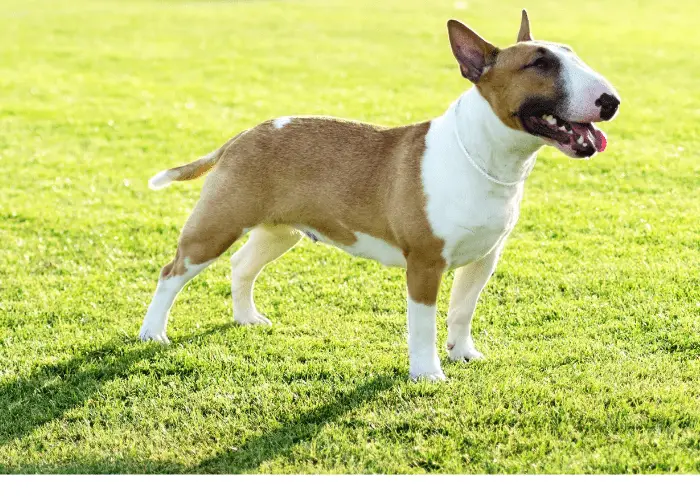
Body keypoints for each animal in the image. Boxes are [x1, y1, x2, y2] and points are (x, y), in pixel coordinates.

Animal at [139, 10, 620, 378]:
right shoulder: (425, 264)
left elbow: (463, 310)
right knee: (171, 271)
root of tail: (241, 136)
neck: (486, 156)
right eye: (539, 64)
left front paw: (463, 353)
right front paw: (427, 374)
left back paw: (246, 318)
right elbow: (423, 325)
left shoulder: (485, 257)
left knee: (241, 265)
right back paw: (153, 333)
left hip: (280, 231)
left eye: (573, 55)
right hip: (218, 224)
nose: (611, 101)